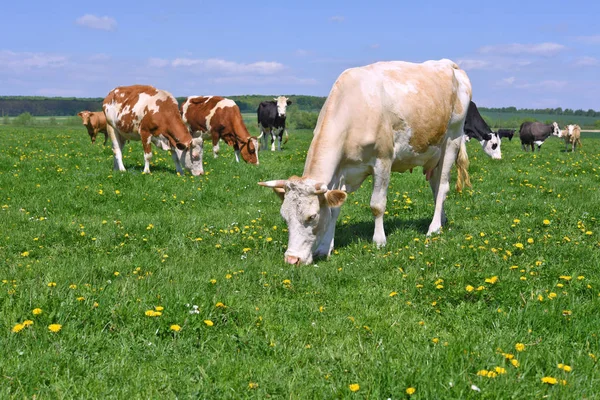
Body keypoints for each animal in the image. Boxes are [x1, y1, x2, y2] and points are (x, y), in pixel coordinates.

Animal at [258, 58, 474, 266]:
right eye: (284, 217)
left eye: (312, 216)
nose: (292, 259)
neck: (354, 108)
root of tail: (450, 64)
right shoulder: (341, 170)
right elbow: (334, 209)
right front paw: (325, 248)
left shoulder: (383, 160)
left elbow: (377, 204)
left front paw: (379, 241)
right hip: (433, 153)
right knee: (436, 187)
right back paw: (442, 220)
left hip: (452, 139)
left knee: (443, 187)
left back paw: (434, 228)